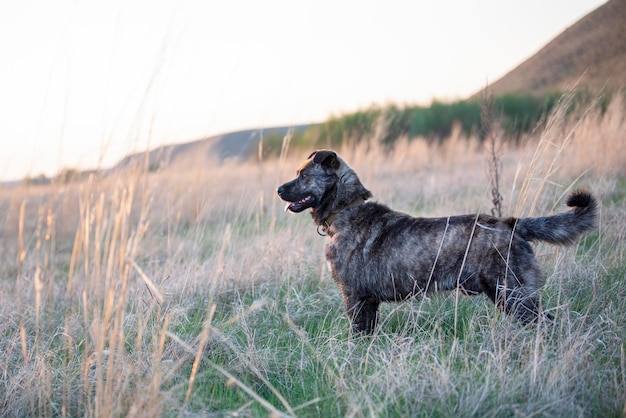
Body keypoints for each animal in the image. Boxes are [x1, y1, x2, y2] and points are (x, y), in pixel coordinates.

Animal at [276, 149, 596, 334]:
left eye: (303, 175)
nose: (279, 189)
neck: (346, 209)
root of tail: (512, 224)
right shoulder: (369, 302)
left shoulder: (355, 298)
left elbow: (357, 334)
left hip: (513, 294)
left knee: (546, 324)